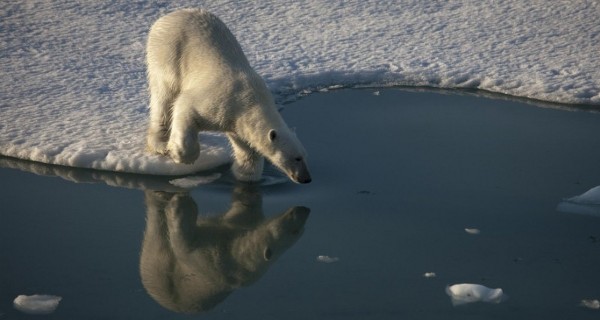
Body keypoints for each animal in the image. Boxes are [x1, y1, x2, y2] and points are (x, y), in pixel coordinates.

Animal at [147, 8, 312, 184]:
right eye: (296, 158)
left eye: (305, 155)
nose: (307, 178)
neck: (251, 102)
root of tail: (165, 18)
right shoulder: (220, 101)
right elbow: (185, 105)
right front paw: (179, 155)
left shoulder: (238, 123)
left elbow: (248, 153)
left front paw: (243, 174)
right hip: (168, 53)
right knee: (164, 97)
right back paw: (160, 144)